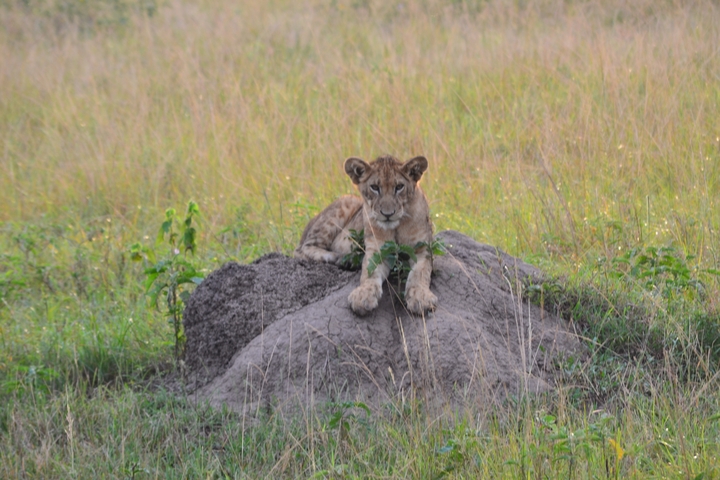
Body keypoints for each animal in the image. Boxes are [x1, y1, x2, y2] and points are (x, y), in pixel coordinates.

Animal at [295, 155, 437, 316]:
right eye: (374, 187)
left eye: (399, 187)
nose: (387, 214)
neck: (396, 227)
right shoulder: (376, 250)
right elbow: (369, 272)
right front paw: (363, 295)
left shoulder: (423, 249)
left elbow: (420, 273)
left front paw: (420, 297)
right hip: (346, 203)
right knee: (302, 249)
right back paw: (341, 258)